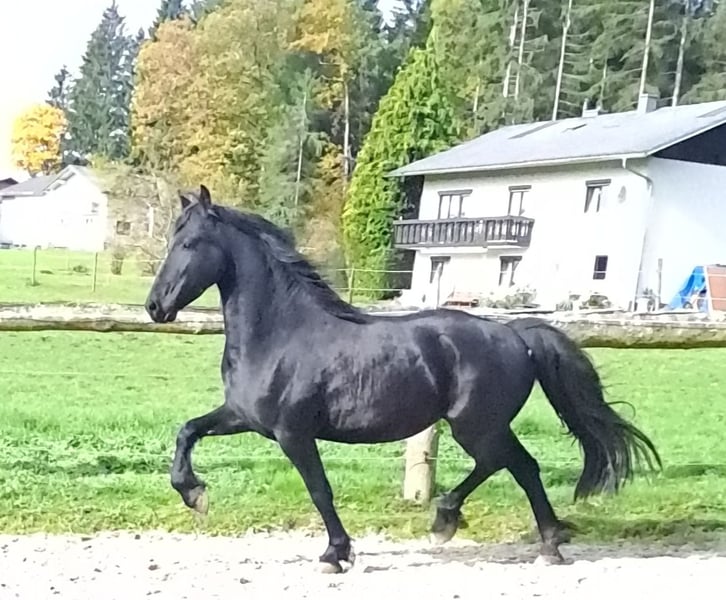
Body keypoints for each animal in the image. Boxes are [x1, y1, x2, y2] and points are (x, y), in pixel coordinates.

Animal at [145, 185, 661, 573]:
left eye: (189, 244)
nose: (155, 307)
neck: (280, 332)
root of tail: (515, 334)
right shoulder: (243, 417)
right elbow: (187, 431)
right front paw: (193, 493)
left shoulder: (294, 434)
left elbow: (319, 490)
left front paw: (335, 555)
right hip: (483, 426)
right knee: (512, 465)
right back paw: (482, 527)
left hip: (476, 425)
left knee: (514, 464)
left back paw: (510, 534)